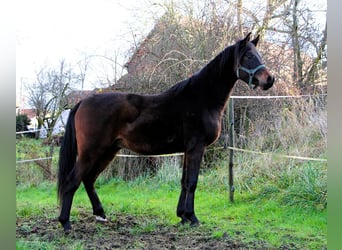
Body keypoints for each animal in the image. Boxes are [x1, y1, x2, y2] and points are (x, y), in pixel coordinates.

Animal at [57, 33, 274, 232]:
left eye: (259, 55)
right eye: (248, 56)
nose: (269, 79)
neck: (202, 98)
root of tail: (83, 102)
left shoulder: (187, 150)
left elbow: (184, 181)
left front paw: (183, 216)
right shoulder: (197, 147)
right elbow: (193, 181)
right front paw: (193, 218)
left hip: (108, 151)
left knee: (88, 179)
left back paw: (100, 214)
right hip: (92, 151)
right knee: (72, 181)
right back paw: (66, 224)